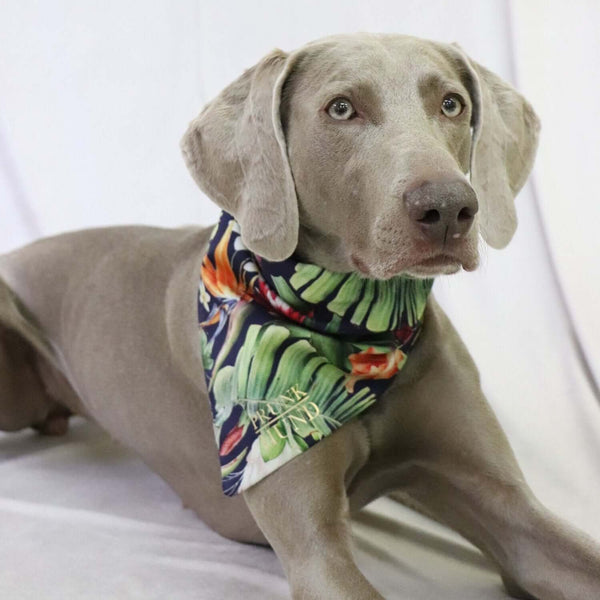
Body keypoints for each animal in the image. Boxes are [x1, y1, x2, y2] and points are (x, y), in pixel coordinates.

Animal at [1, 34, 600, 600]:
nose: (451, 207)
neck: (359, 326)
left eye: (452, 103)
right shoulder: (316, 551)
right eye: (341, 108)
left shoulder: (510, 510)